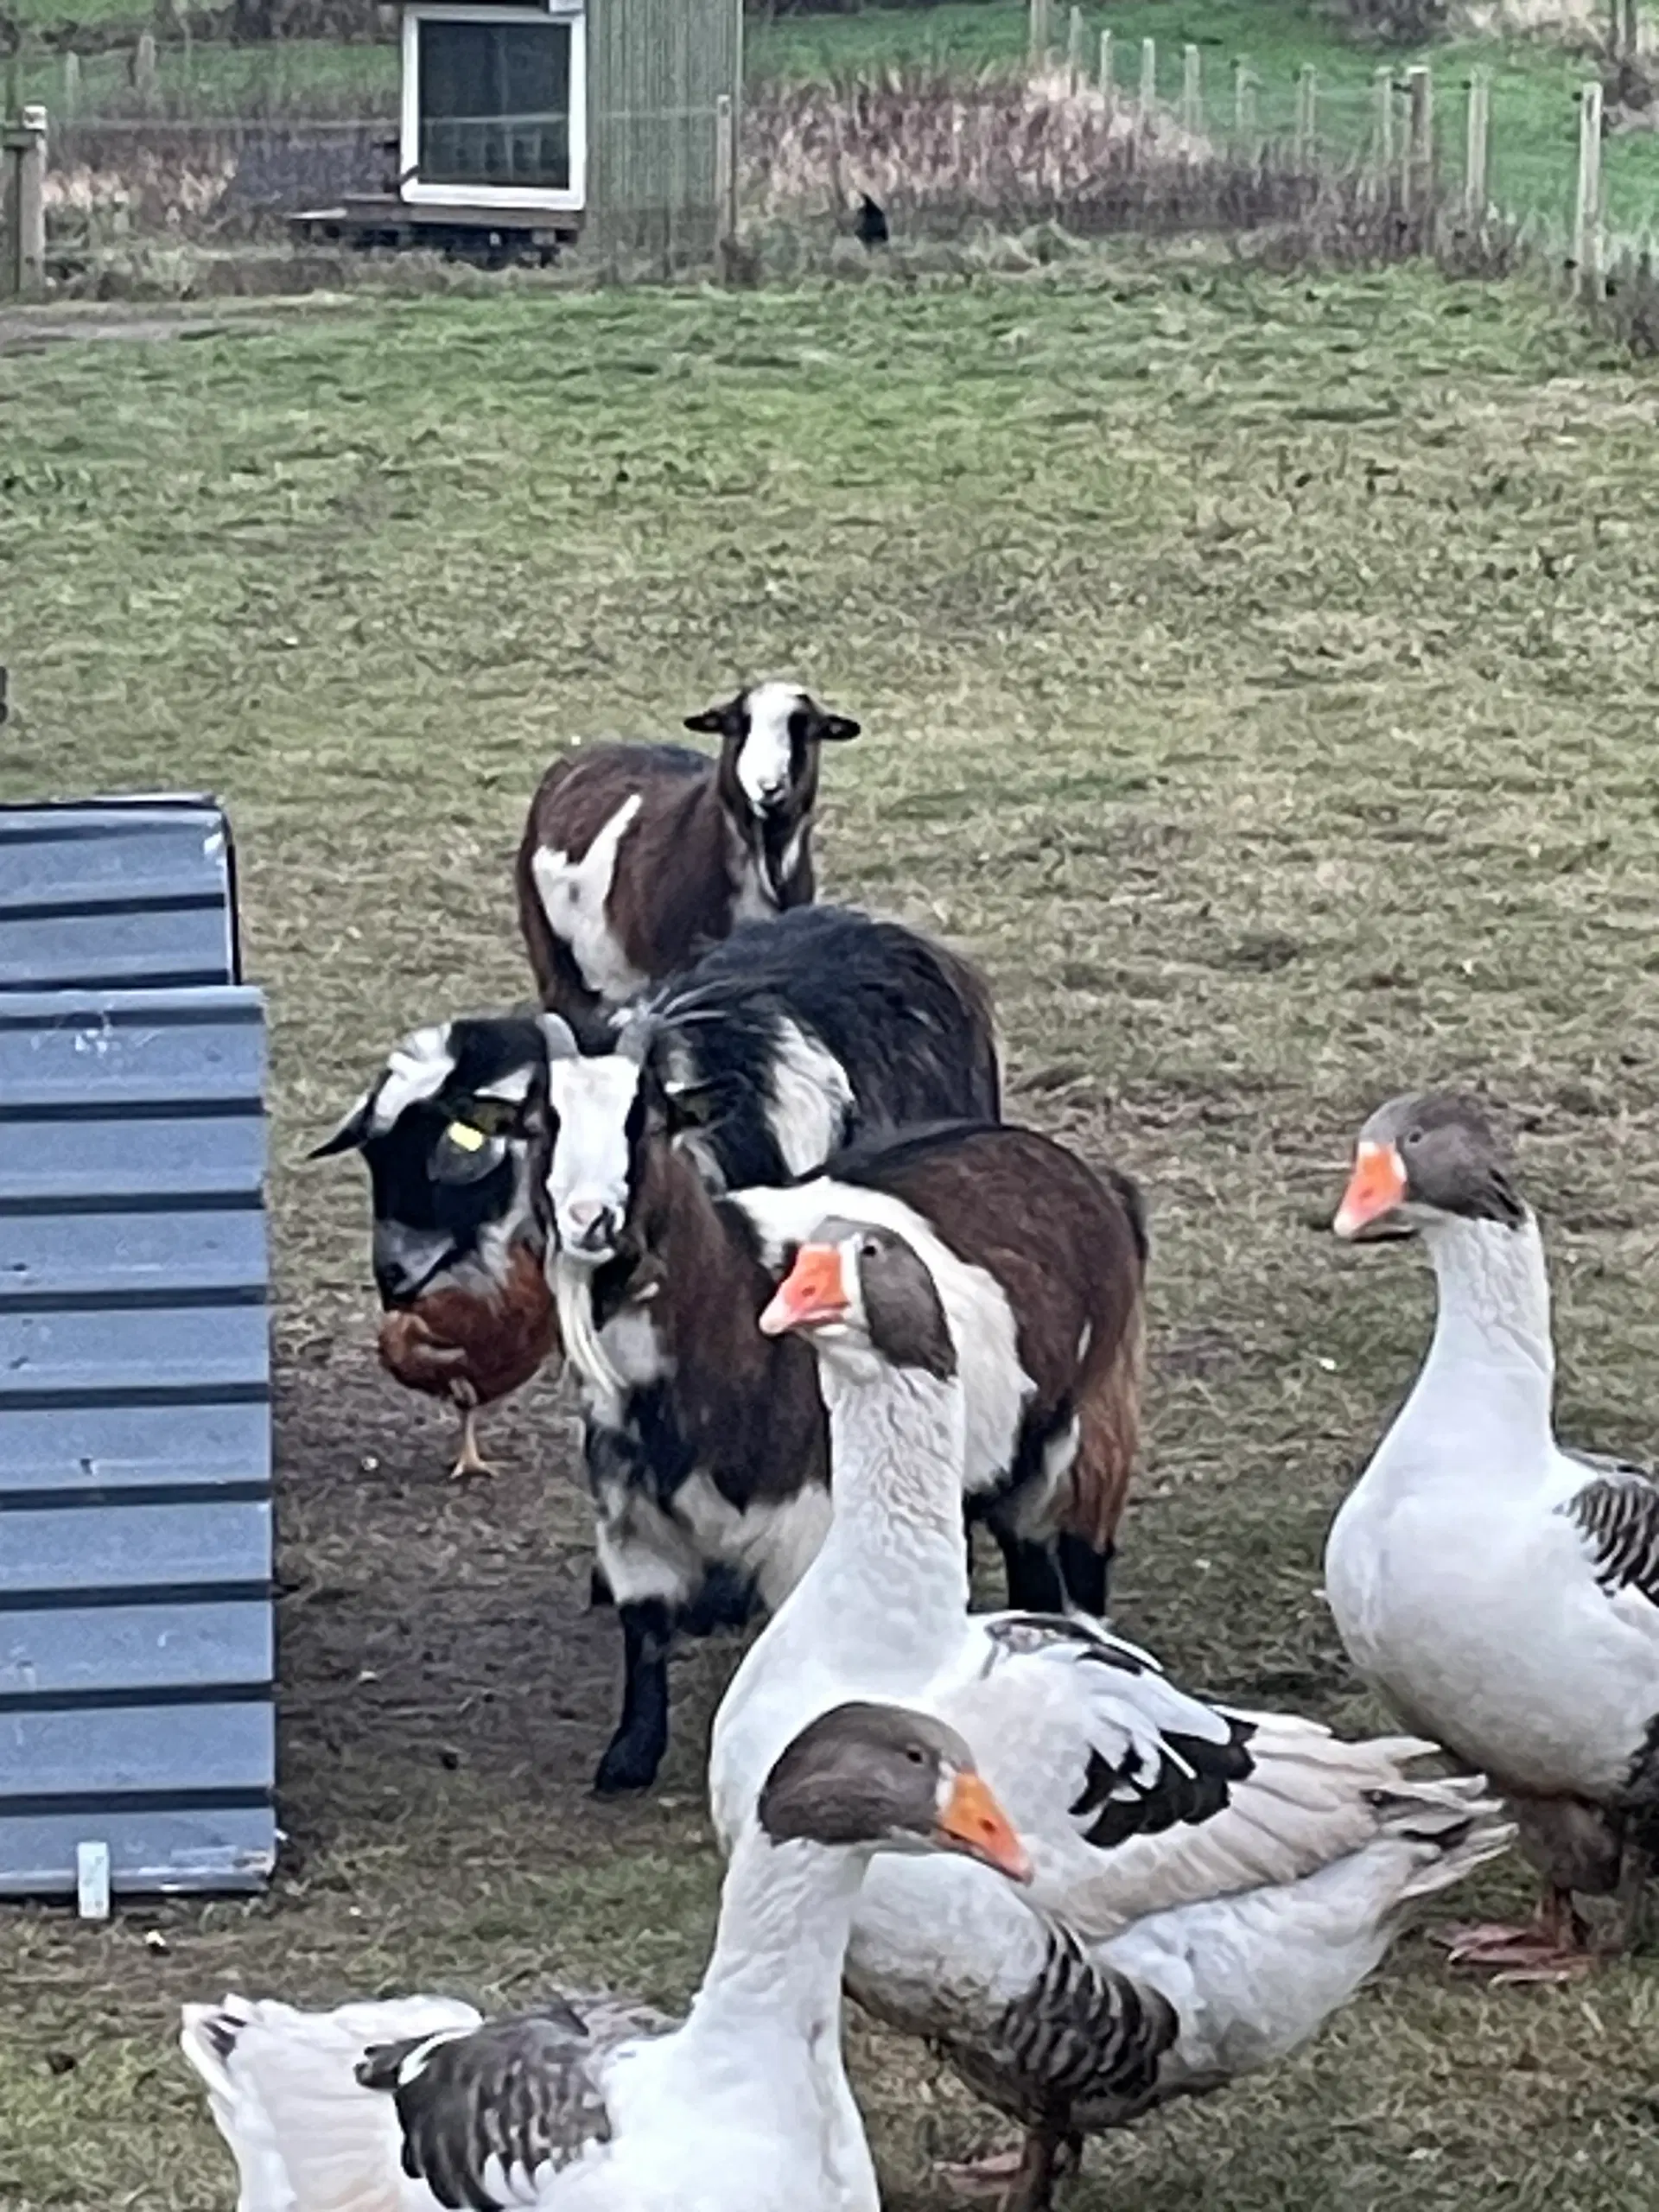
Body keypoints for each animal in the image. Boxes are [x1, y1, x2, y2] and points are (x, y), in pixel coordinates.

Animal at [542, 1026, 1141, 1787]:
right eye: (541, 1126)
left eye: (646, 1123)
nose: (589, 1222)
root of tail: (1091, 1177)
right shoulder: (631, 1519)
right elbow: (643, 1633)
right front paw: (630, 1756)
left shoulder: (806, 1523)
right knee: (1027, 1553)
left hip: (1090, 1424)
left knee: (1082, 1561)